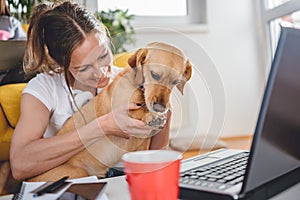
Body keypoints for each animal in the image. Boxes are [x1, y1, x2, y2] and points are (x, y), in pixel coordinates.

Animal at [28, 41, 192, 181]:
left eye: (176, 82)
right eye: (155, 75)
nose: (160, 107)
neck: (139, 90)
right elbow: (135, 112)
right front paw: (151, 116)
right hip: (78, 172)